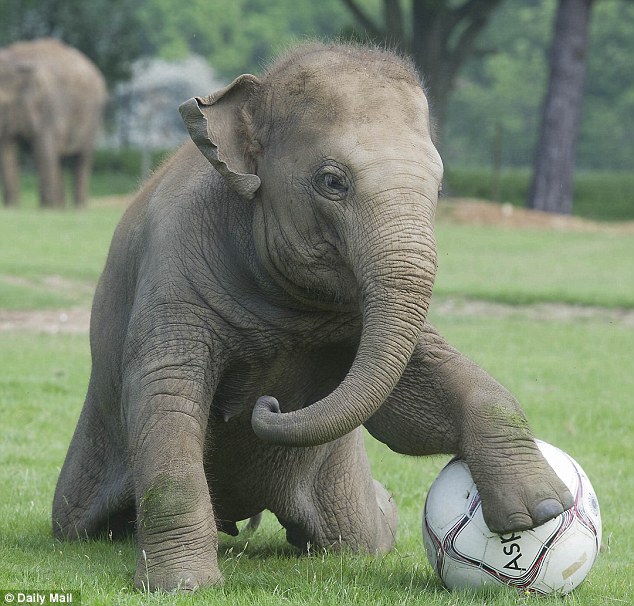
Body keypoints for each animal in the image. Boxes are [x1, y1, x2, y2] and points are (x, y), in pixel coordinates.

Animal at [0, 38, 106, 209]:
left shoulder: (48, 107)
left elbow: (43, 151)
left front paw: (45, 208)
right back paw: (60, 208)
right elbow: (7, 149)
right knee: (59, 159)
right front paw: (12, 208)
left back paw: (77, 208)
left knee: (82, 157)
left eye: (2, 103)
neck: (15, 61)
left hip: (94, 116)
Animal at [51, 42, 572, 592]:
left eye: (440, 186)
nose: (267, 404)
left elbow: (410, 396)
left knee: (361, 538)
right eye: (331, 182)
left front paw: (543, 509)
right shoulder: (173, 271)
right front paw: (185, 585)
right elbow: (167, 395)